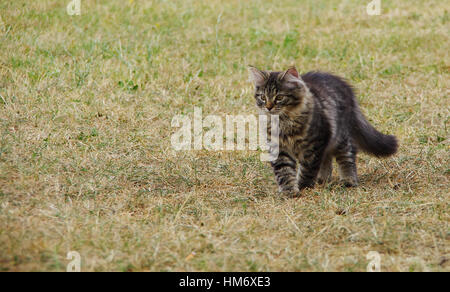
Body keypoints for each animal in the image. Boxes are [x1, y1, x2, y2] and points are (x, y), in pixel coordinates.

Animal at [248, 65, 400, 194]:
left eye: (279, 97)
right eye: (263, 97)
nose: (268, 107)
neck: (284, 122)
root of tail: (344, 87)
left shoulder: (314, 144)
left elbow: (307, 170)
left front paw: (303, 187)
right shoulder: (279, 148)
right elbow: (284, 171)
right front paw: (289, 191)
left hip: (341, 137)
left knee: (347, 156)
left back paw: (348, 181)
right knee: (326, 159)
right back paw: (323, 180)